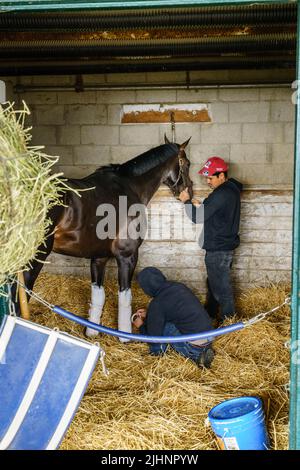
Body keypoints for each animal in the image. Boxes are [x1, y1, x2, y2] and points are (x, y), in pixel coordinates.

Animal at [20, 136, 192, 342]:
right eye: (187, 164)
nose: (188, 193)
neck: (129, 186)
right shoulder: (127, 256)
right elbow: (125, 297)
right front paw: (125, 337)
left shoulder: (98, 257)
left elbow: (98, 295)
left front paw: (92, 332)